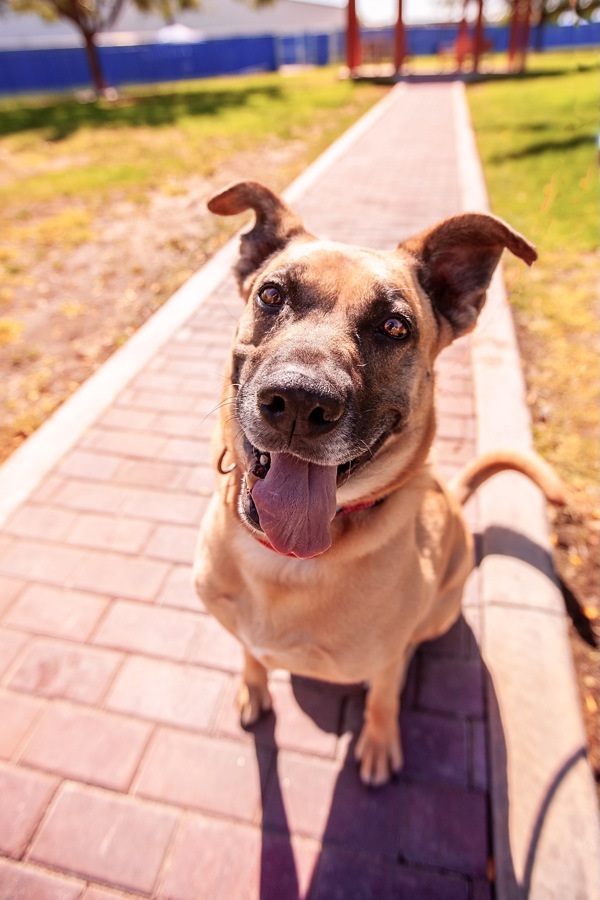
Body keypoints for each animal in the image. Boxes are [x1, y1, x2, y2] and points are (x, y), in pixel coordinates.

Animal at [195, 185, 564, 788]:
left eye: (395, 327)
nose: (298, 401)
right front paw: (253, 688)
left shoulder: (386, 659)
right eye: (271, 294)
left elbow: (383, 696)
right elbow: (251, 654)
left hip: (440, 611)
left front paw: (377, 742)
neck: (286, 561)